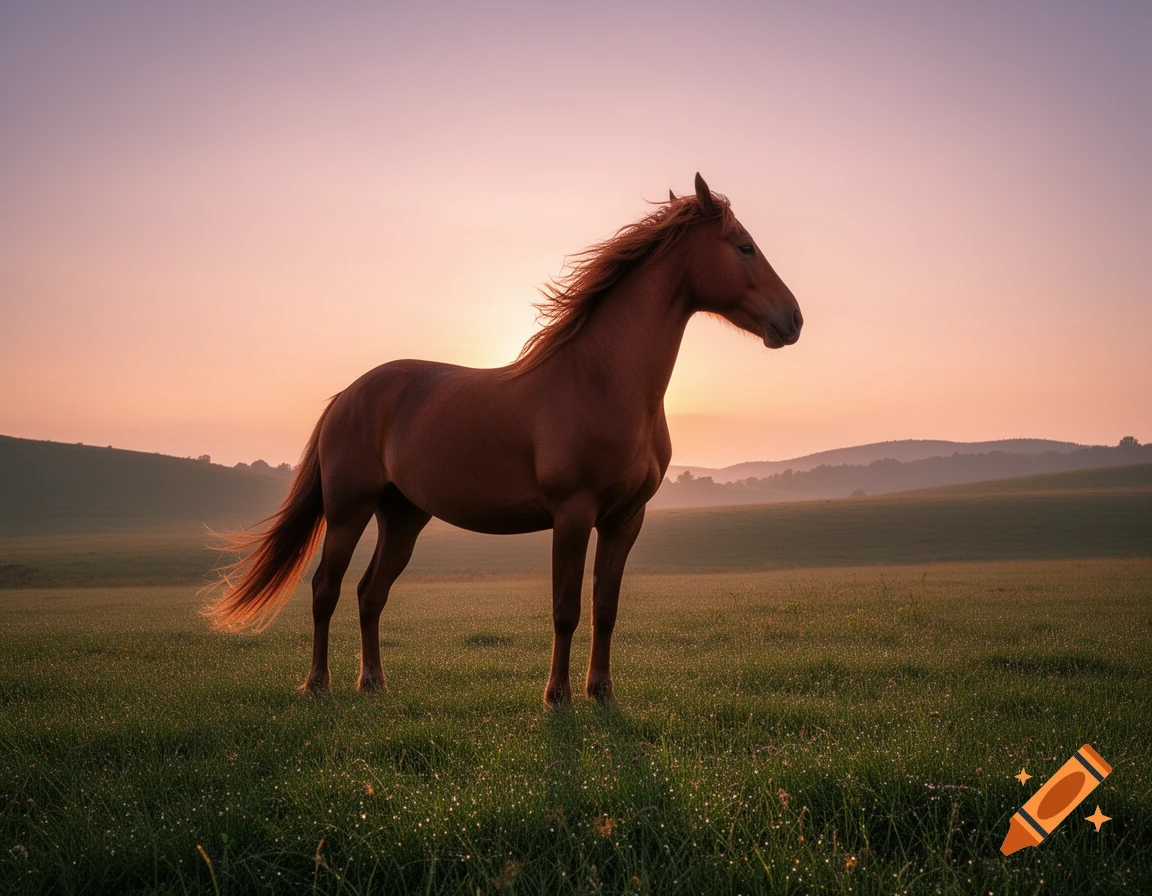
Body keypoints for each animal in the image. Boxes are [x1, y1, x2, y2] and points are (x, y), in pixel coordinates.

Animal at [206, 173, 802, 704]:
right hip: (349, 511)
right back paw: (317, 684)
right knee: (325, 591)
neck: (602, 381)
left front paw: (602, 693)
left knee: (369, 594)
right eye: (745, 246)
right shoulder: (573, 513)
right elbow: (566, 609)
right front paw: (557, 696)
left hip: (402, 517)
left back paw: (373, 683)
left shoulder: (624, 520)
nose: (793, 320)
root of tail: (347, 395)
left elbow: (605, 609)